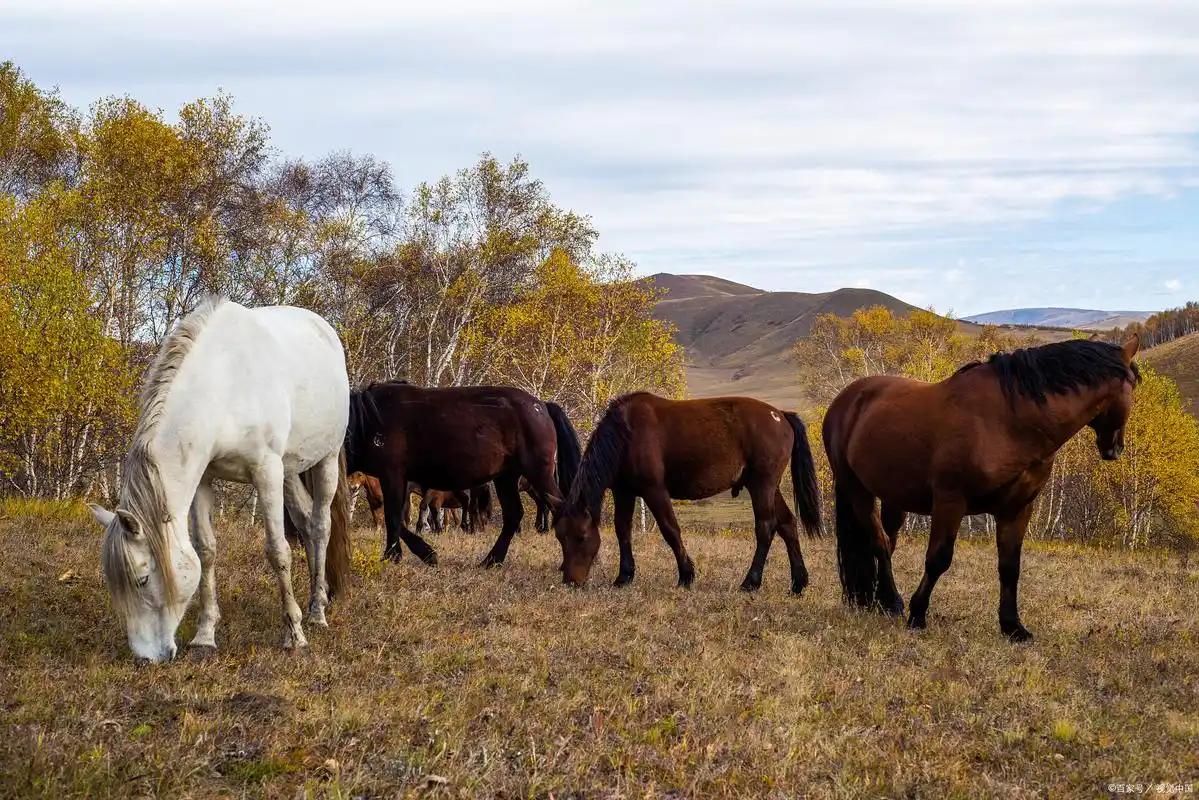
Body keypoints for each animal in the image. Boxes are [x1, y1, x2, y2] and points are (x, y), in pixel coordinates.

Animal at [89, 298, 351, 663]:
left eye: (141, 579)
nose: (145, 658)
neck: (223, 387)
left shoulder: (266, 472)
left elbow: (278, 551)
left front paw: (294, 634)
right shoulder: (204, 478)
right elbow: (206, 551)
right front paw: (204, 635)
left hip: (324, 459)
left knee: (321, 525)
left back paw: (316, 613)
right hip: (289, 470)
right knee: (305, 521)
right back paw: (320, 595)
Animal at [344, 382, 581, 567]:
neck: (370, 420)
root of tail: (542, 407)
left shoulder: (392, 475)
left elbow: (393, 516)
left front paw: (398, 555)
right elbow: (399, 518)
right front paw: (418, 553)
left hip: (538, 475)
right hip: (506, 477)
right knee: (513, 515)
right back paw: (491, 560)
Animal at [554, 393, 822, 591]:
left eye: (581, 537)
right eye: (560, 538)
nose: (571, 582)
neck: (626, 434)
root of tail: (781, 415)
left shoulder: (655, 491)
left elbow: (670, 530)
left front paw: (686, 575)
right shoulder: (624, 492)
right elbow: (623, 531)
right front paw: (624, 576)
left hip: (762, 485)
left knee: (766, 527)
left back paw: (751, 582)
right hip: (768, 486)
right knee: (787, 524)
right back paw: (798, 582)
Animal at [823, 336, 1141, 641]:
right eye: (1135, 386)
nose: (1115, 448)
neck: (1010, 422)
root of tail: (846, 399)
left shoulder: (1017, 509)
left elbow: (1010, 567)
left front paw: (1012, 626)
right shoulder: (950, 503)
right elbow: (938, 559)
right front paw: (918, 614)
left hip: (894, 496)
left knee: (889, 540)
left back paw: (882, 601)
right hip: (857, 490)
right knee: (878, 542)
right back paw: (893, 601)